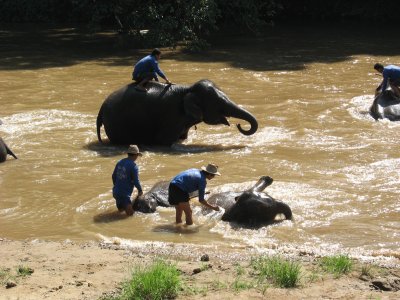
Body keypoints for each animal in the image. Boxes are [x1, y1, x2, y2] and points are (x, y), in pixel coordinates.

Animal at [97, 79, 260, 146]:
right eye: (220, 103)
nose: (239, 125)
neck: (187, 89)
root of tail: (101, 107)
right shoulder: (171, 117)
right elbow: (163, 140)